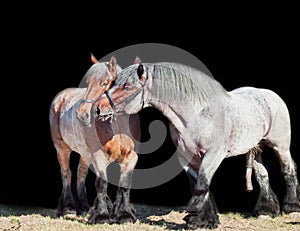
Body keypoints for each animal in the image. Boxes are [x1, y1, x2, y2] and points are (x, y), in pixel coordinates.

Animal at [49, 54, 141, 224]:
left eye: (105, 83)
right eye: (87, 83)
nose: (82, 114)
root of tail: (62, 96)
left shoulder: (131, 157)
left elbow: (124, 184)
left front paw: (124, 213)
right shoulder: (99, 155)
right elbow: (101, 183)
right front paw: (102, 215)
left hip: (85, 153)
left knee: (81, 172)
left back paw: (84, 206)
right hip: (61, 148)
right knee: (66, 173)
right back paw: (69, 207)